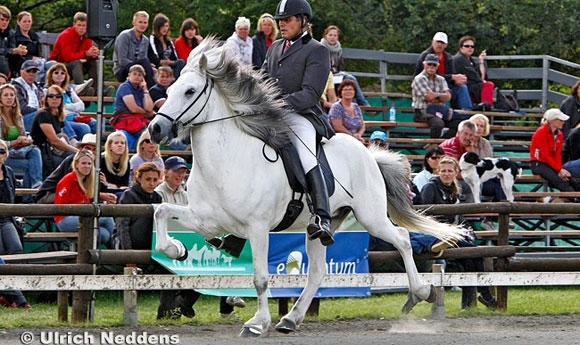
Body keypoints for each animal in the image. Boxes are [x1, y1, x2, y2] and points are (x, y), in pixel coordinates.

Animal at [151, 38, 466, 336]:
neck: (227, 161)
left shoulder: (258, 228)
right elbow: (161, 211)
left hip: (371, 216)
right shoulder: (207, 220)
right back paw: (291, 318)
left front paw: (257, 323)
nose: (155, 129)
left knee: (401, 239)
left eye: (190, 91)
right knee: (317, 271)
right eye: (170, 89)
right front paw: (176, 249)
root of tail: (368, 153)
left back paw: (421, 292)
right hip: (322, 227)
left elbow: (260, 278)